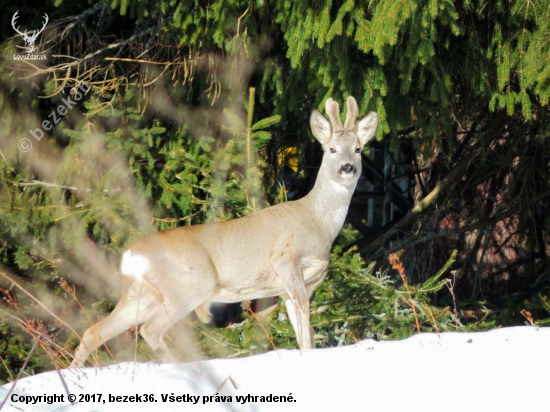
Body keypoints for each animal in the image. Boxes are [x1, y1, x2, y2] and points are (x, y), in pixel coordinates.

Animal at [70, 96, 380, 366]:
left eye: (358, 149)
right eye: (332, 149)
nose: (347, 167)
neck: (317, 221)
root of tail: (131, 255)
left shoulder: (293, 286)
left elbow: (304, 333)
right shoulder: (286, 261)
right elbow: (306, 333)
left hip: (142, 292)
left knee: (94, 331)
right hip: (191, 284)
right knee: (150, 330)